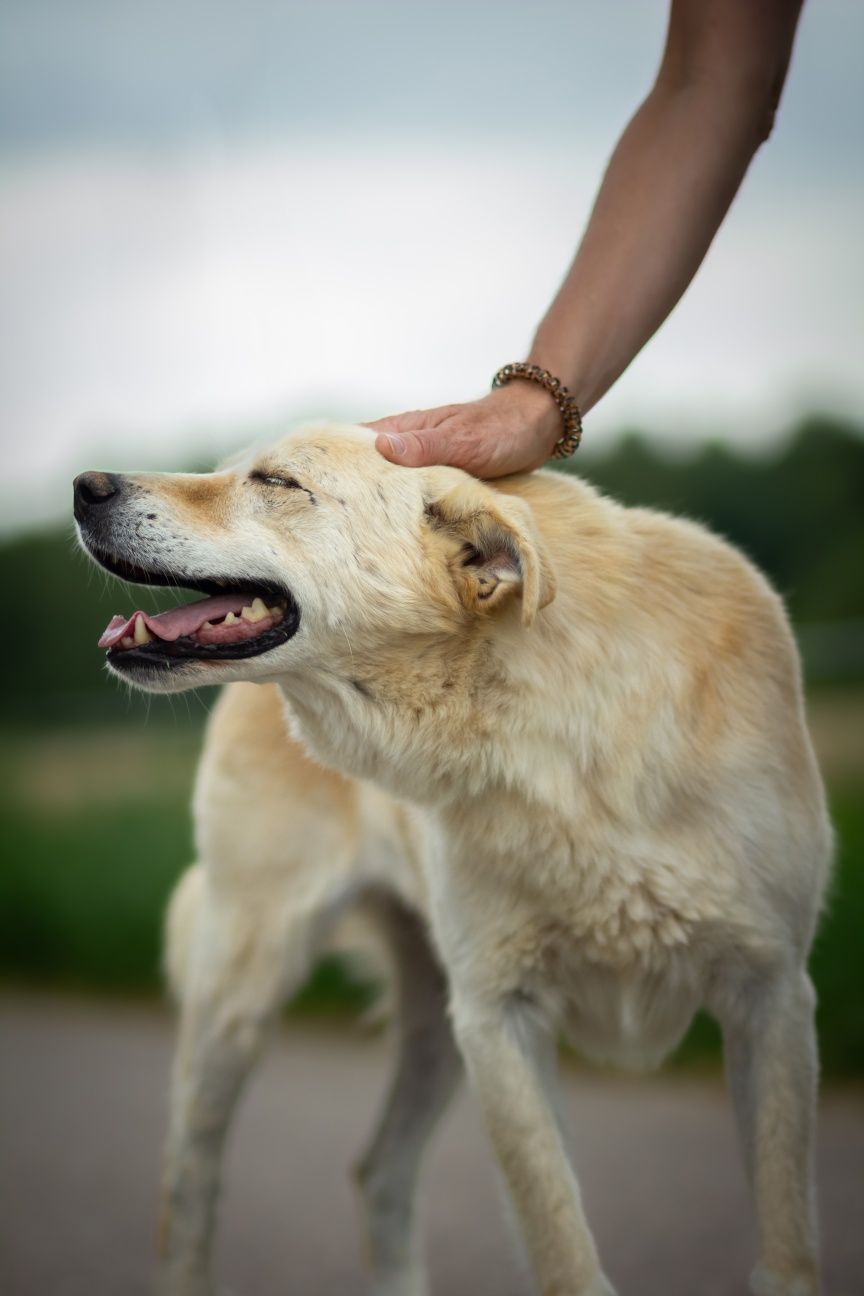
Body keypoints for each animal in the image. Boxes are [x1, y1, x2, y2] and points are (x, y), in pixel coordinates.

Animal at [72, 427, 829, 1296]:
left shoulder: (771, 994)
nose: (84, 485)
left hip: (432, 1024)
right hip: (246, 991)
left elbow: (786, 1248)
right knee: (188, 1189)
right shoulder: (499, 1017)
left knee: (379, 1173)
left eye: (277, 481)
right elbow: (564, 1250)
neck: (557, 743)